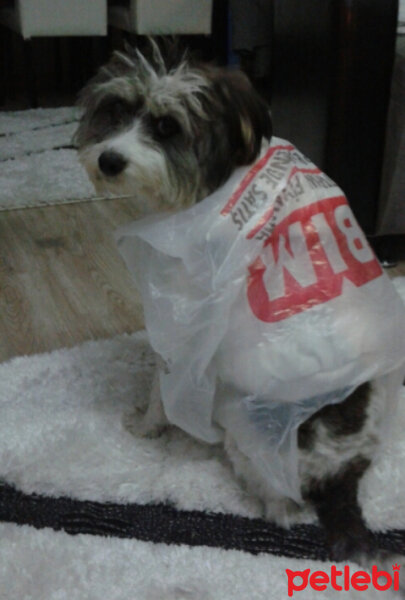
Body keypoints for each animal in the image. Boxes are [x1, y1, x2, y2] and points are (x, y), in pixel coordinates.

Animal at [73, 41, 404, 576]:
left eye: (167, 127)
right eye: (118, 110)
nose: (108, 160)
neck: (217, 182)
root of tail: (342, 476)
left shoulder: (184, 330)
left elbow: (160, 392)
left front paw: (145, 427)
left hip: (249, 432)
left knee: (282, 508)